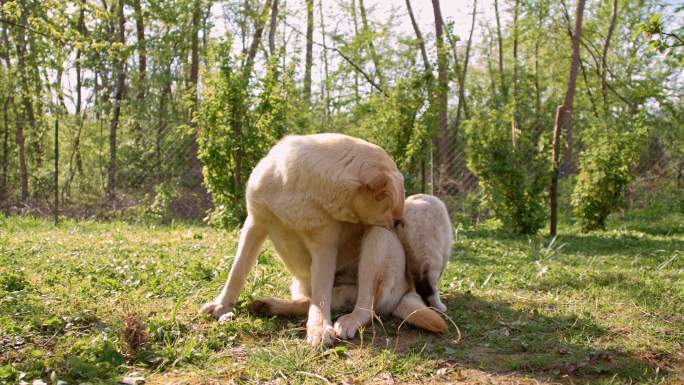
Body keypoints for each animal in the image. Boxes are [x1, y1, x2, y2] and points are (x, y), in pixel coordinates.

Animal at [200, 133, 408, 344]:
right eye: (394, 215)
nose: (397, 225)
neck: (301, 188)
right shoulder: (254, 224)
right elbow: (237, 271)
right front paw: (221, 305)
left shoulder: (323, 246)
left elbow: (321, 294)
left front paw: (320, 328)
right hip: (303, 284)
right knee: (310, 301)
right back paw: (268, 306)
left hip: (378, 239)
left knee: (363, 305)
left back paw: (348, 320)